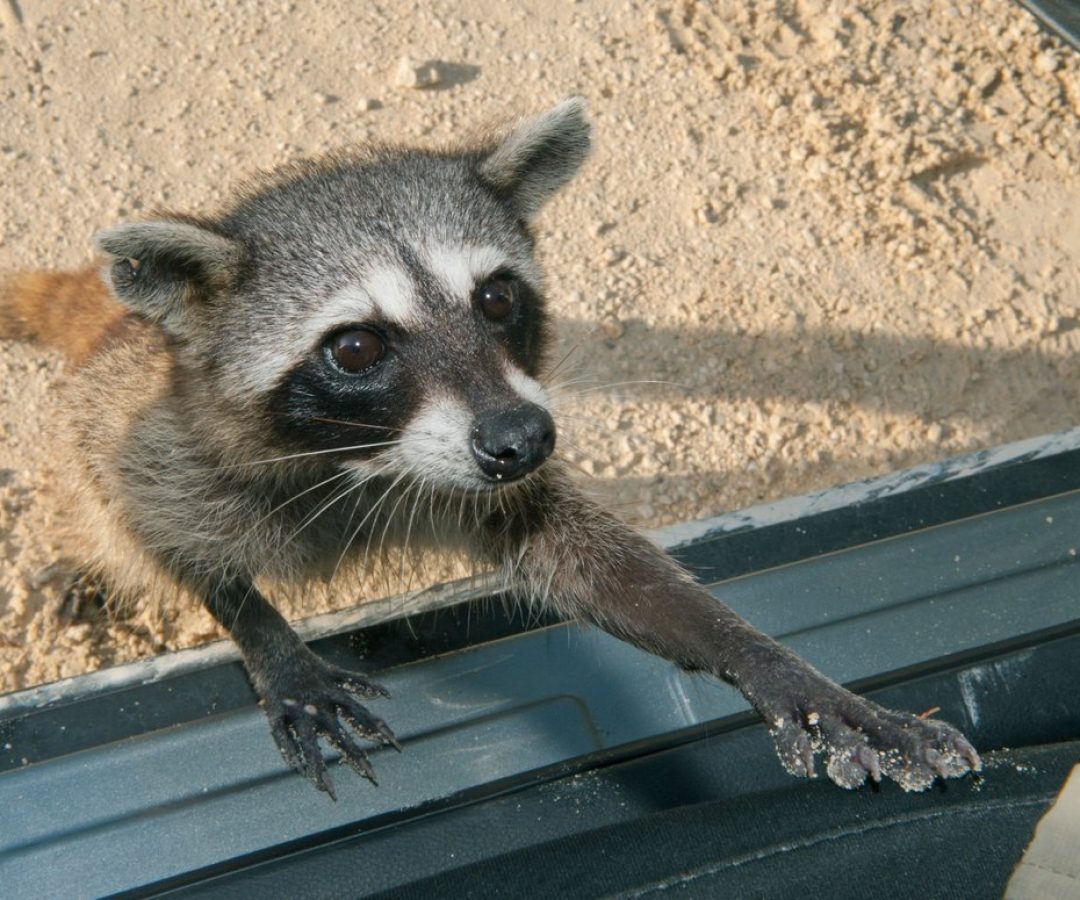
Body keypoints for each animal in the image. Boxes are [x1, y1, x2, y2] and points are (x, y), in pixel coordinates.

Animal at [0, 99, 979, 797]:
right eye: (355, 348)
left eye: (498, 298)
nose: (526, 438)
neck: (368, 461)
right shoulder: (154, 441)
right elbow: (156, 525)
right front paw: (260, 628)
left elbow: (600, 567)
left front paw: (773, 666)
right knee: (94, 509)